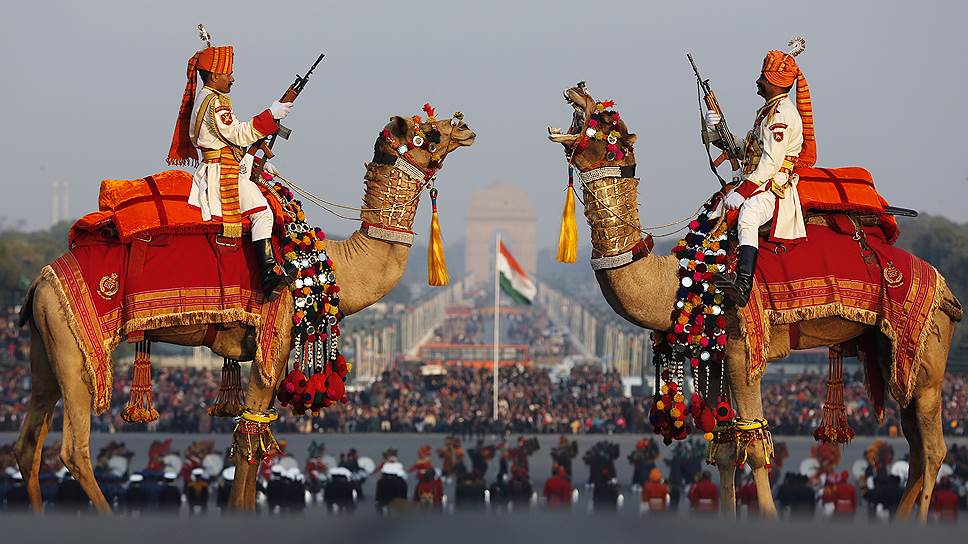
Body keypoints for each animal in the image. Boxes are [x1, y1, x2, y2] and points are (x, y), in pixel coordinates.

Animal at [11, 111, 472, 516]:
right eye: (429, 134)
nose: (465, 127)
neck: (329, 264)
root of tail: (42, 280)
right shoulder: (274, 338)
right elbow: (252, 431)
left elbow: (257, 431)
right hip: (76, 347)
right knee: (73, 448)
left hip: (46, 343)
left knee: (28, 441)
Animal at [548, 83, 964, 520]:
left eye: (606, 123)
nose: (578, 89)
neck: (683, 279)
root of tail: (946, 289)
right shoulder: (722, 353)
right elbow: (726, 445)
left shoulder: (743, 347)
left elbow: (756, 444)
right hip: (890, 352)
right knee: (916, 445)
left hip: (926, 352)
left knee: (933, 448)